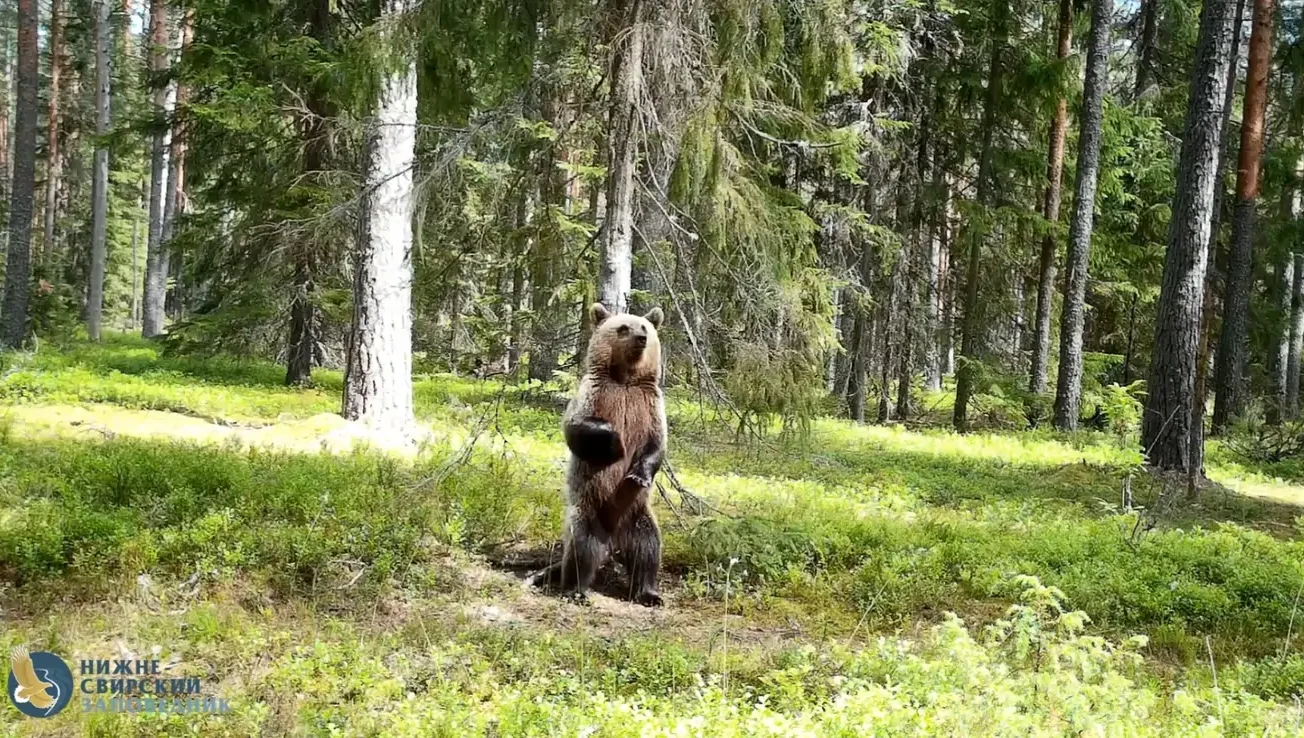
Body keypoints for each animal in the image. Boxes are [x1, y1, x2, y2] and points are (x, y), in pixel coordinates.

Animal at [532, 302, 668, 607]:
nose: (641, 339)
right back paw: (576, 589)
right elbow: (576, 429)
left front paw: (639, 475)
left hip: (636, 514)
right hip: (590, 507)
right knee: (583, 547)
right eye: (623, 327)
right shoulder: (594, 395)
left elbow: (656, 447)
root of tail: (613, 540)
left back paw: (648, 592)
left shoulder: (651, 406)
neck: (625, 380)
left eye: (645, 327)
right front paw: (616, 441)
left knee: (648, 548)